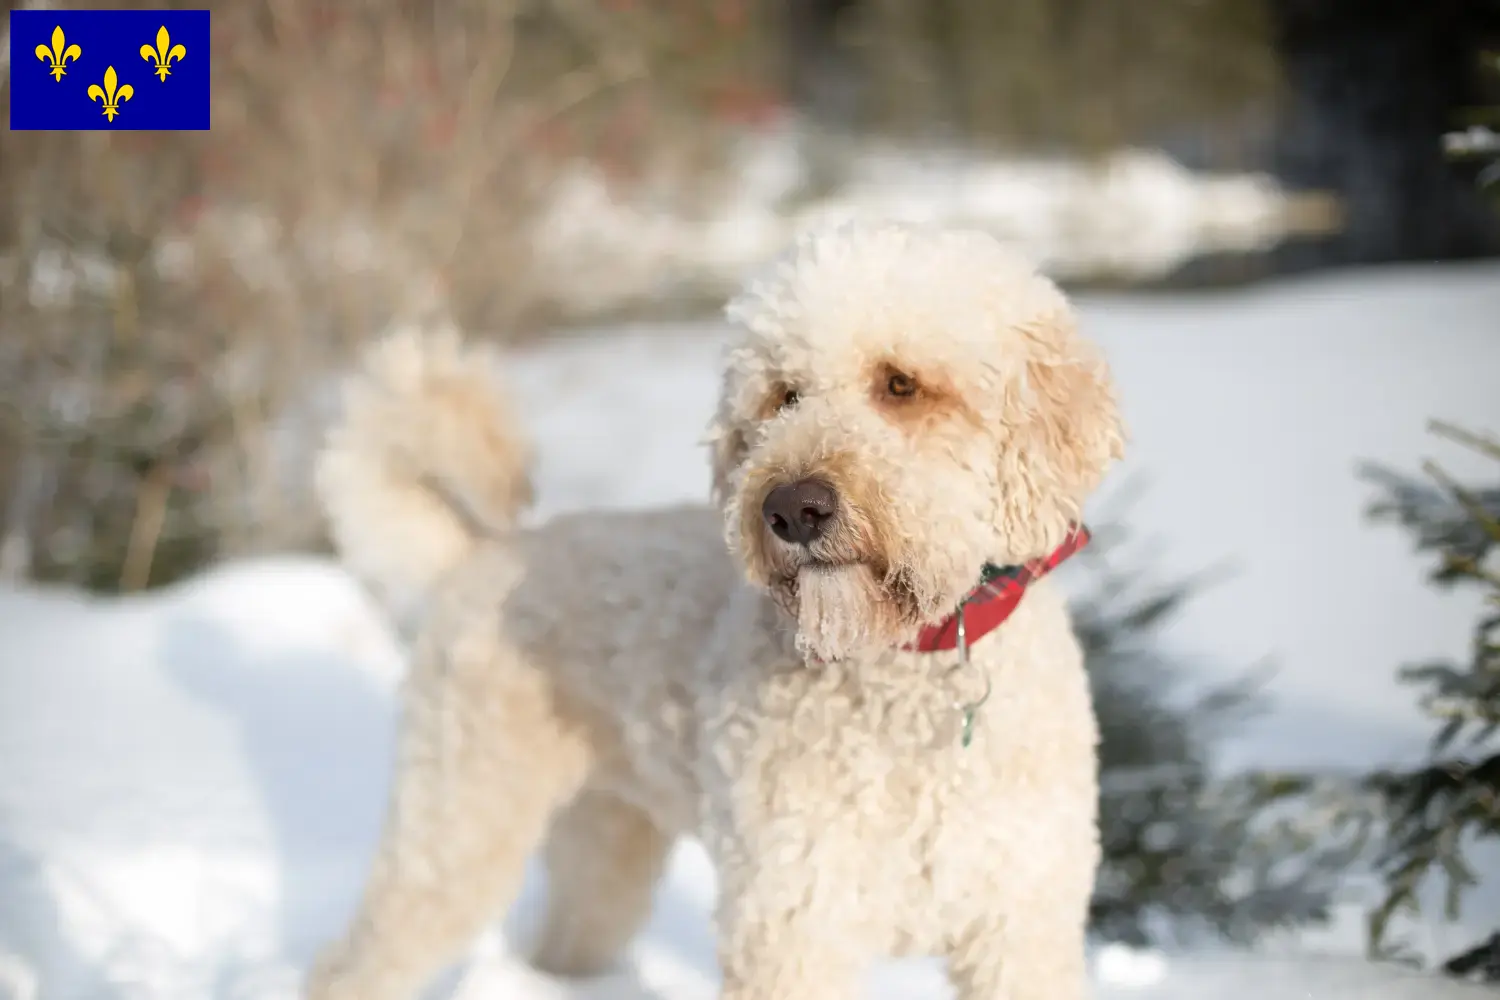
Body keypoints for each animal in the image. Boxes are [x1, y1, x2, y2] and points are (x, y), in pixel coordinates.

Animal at [307, 223, 1128, 995]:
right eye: (783, 394)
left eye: (901, 384)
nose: (792, 509)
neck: (911, 664)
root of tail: (481, 552)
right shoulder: (792, 917)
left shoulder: (1021, 924)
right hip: (458, 823)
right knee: (351, 967)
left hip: (605, 840)